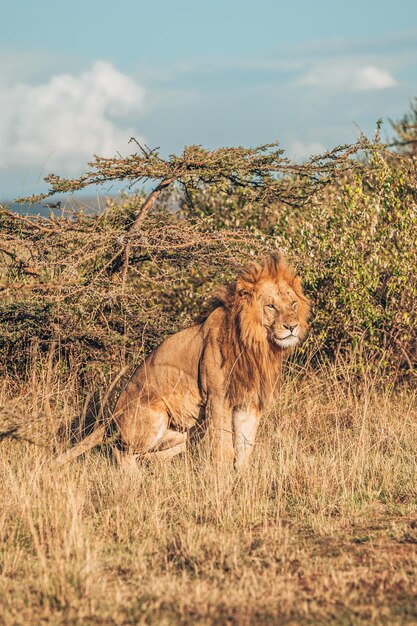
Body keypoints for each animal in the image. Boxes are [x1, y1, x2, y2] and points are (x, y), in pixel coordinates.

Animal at [56, 251, 308, 466]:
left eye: (293, 304)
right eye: (271, 307)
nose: (292, 326)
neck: (258, 345)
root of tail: (110, 418)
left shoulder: (249, 402)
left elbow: (245, 448)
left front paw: (242, 480)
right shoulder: (217, 398)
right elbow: (223, 447)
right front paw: (223, 481)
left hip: (185, 434)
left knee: (148, 456)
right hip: (155, 413)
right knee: (122, 451)